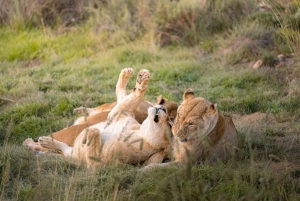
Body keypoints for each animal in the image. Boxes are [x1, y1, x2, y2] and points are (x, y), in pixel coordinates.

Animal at [35, 68, 171, 167]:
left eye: (169, 124)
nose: (164, 108)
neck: (141, 131)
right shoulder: (123, 115)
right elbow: (133, 97)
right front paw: (142, 80)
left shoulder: (97, 164)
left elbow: (95, 139)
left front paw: (91, 131)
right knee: (123, 96)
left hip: (75, 154)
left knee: (65, 150)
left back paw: (44, 144)